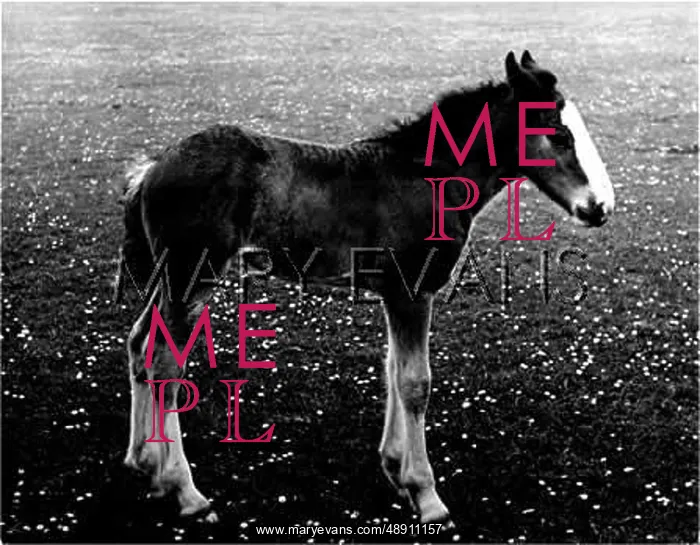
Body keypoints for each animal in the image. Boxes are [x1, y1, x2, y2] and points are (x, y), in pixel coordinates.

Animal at [113, 50, 615, 526]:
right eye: (560, 135)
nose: (601, 207)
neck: (428, 178)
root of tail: (152, 168)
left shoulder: (396, 293)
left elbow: (393, 368)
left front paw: (395, 470)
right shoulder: (413, 291)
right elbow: (415, 383)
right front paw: (427, 496)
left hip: (168, 280)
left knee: (139, 344)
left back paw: (144, 465)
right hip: (191, 278)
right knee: (165, 365)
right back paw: (186, 492)